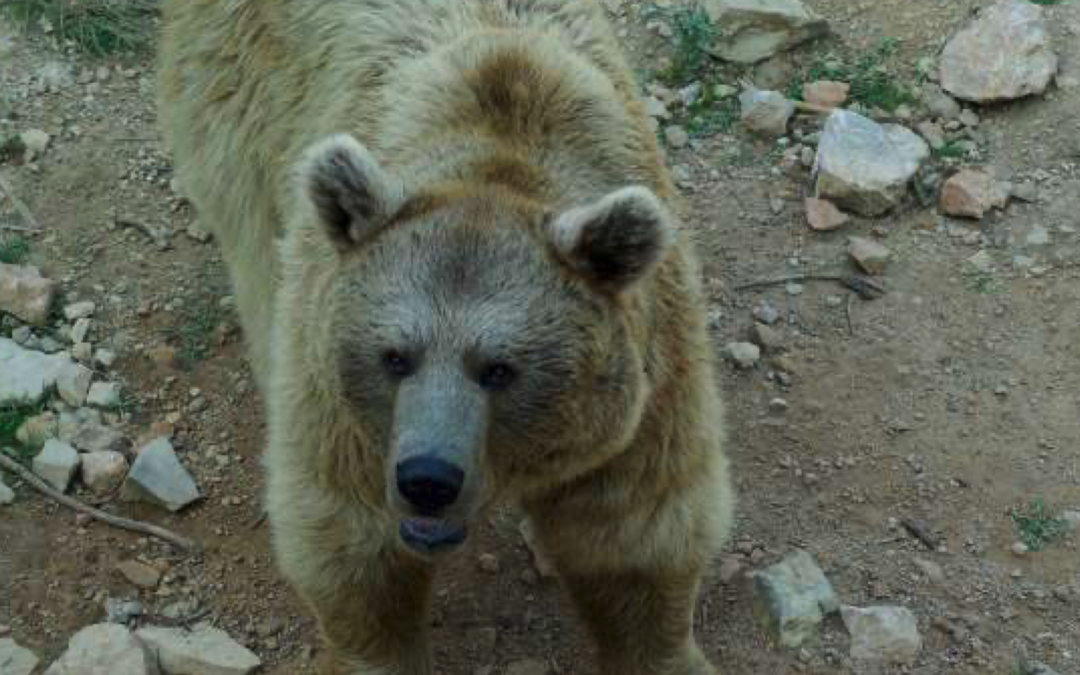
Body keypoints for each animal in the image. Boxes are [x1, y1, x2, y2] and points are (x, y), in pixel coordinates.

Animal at [156, 1, 735, 673]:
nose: (428, 479)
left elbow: (635, 537)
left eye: (500, 369)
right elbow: (353, 544)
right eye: (394, 357)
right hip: (238, 108)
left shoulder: (644, 392)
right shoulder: (341, 413)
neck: (500, 153)